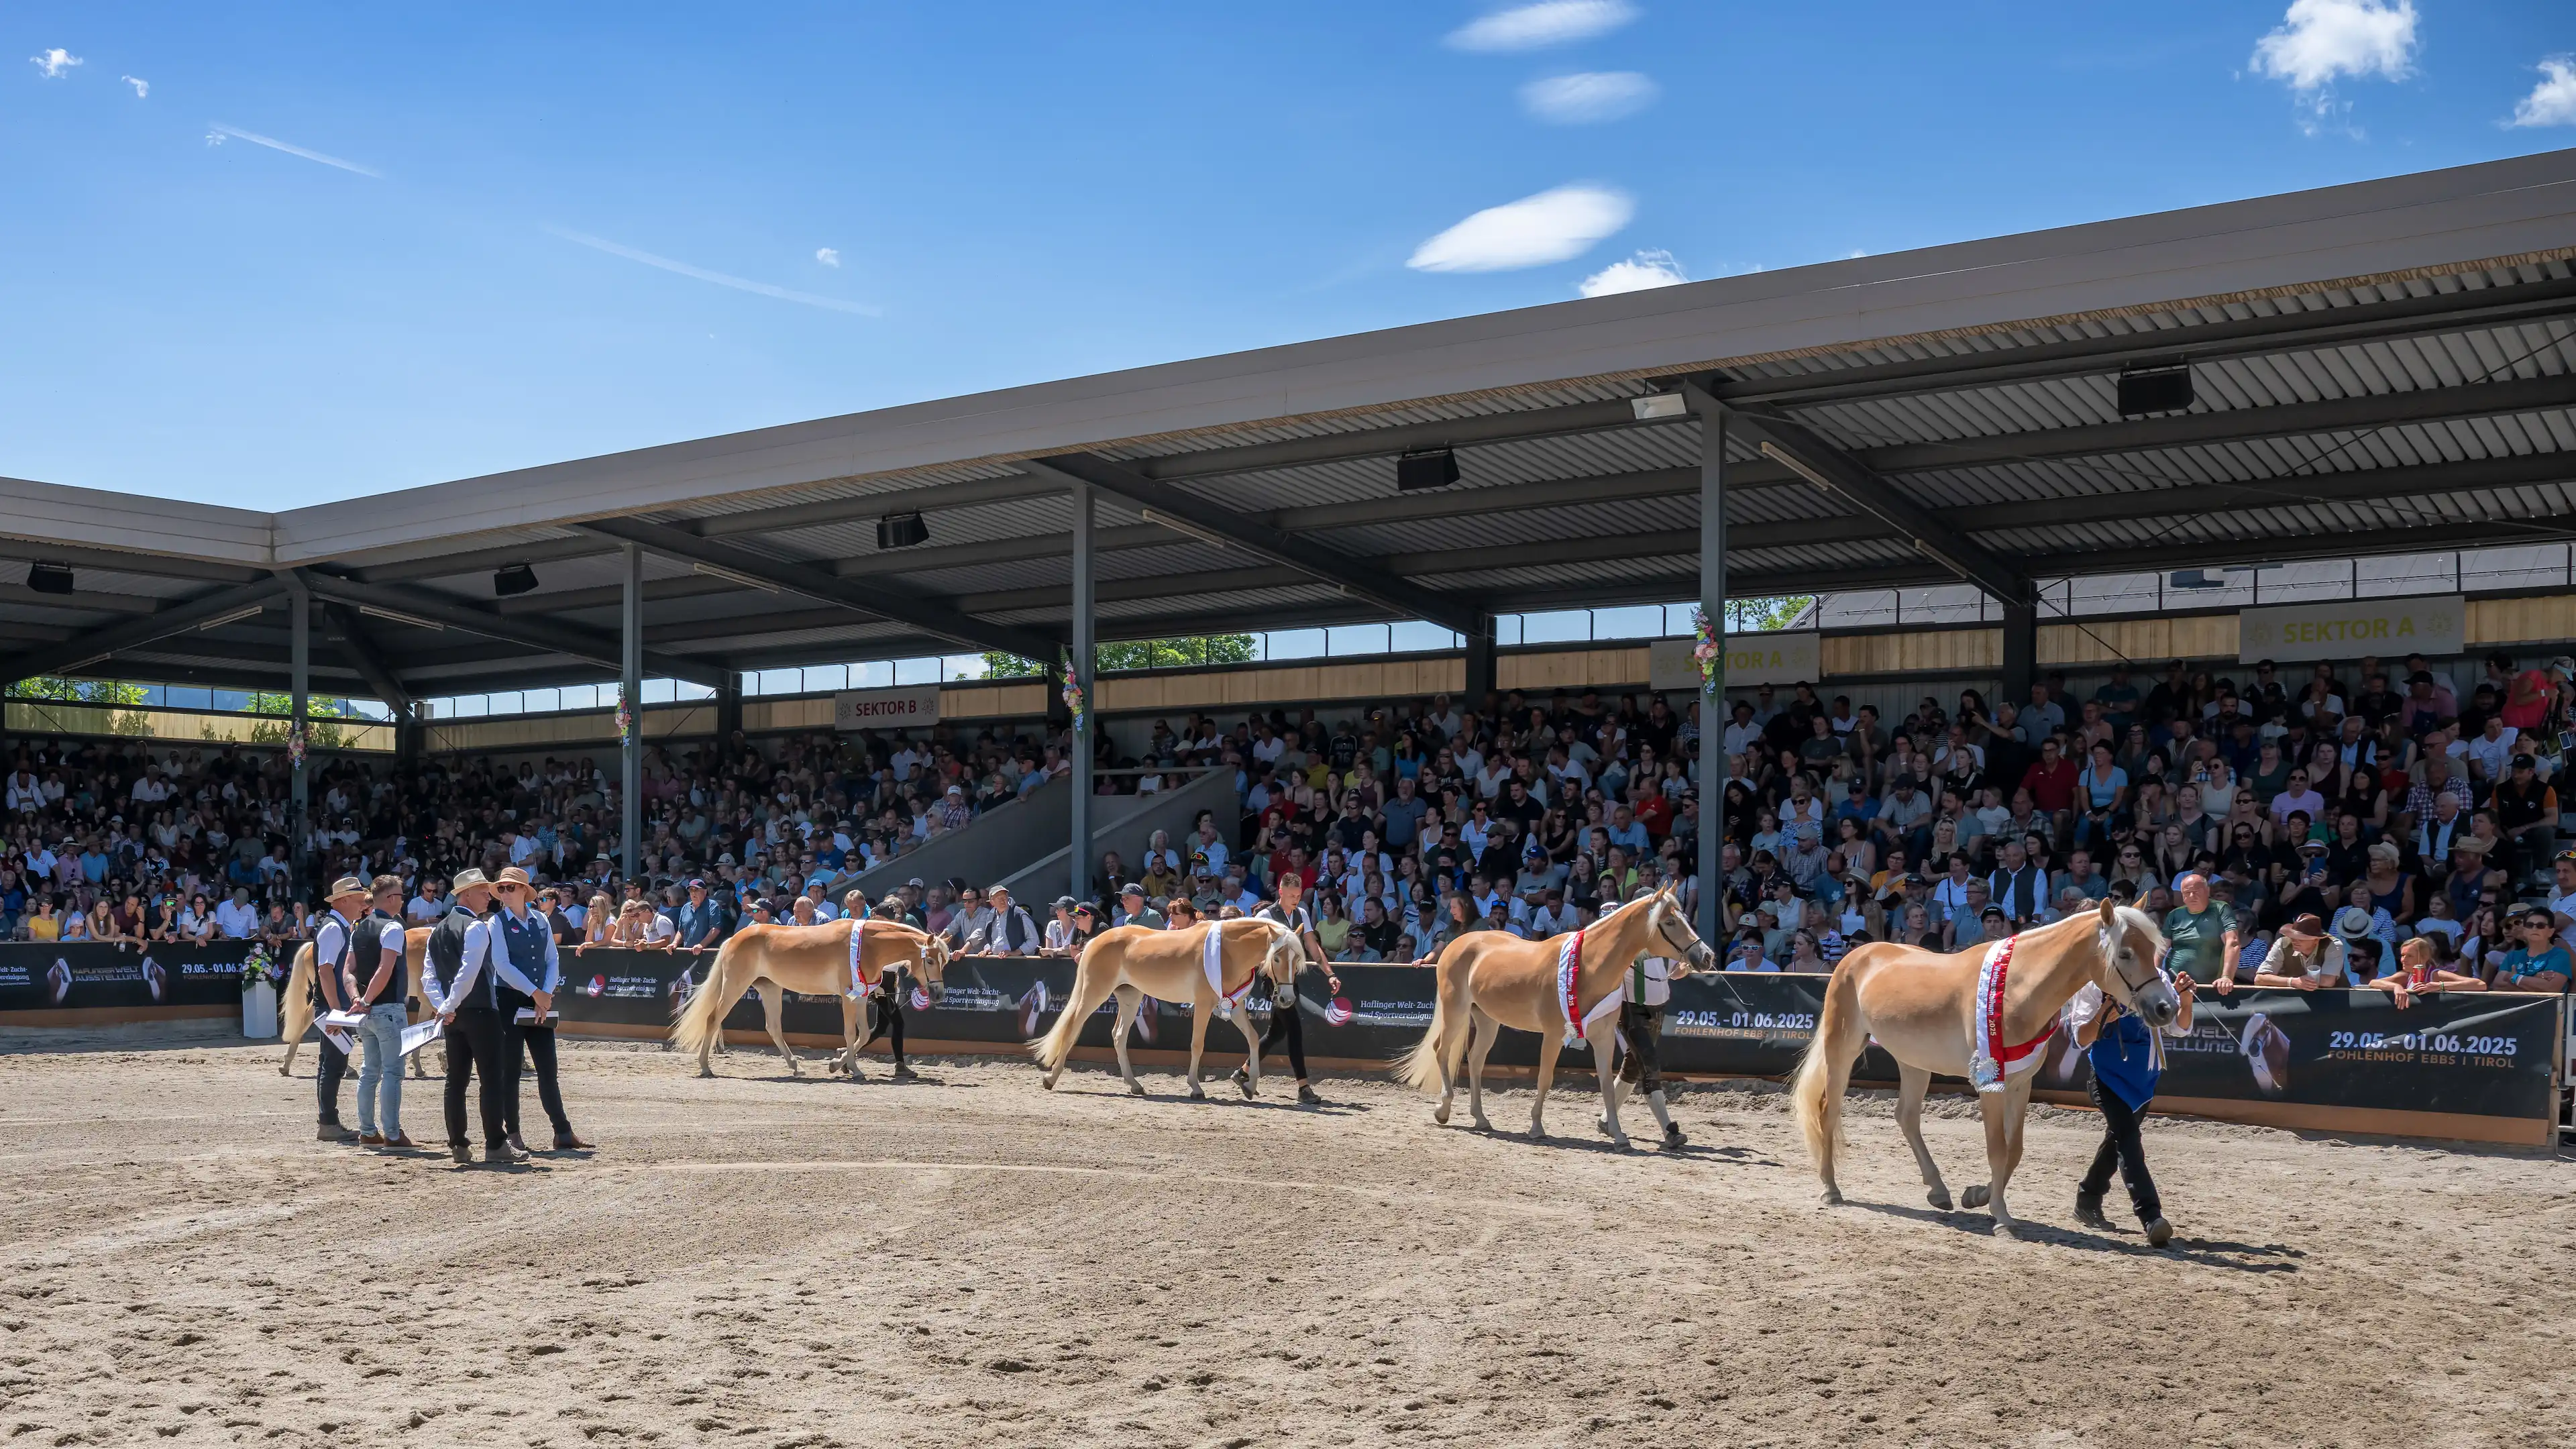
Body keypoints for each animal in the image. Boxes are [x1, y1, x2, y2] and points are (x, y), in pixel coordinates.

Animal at [669, 918, 949, 1078]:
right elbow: (850, 1033)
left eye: (944, 961)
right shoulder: (848, 997)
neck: (868, 947)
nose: (938, 994)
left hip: (770, 989)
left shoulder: (860, 997)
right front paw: (854, 1070)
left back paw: (796, 1068)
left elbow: (865, 1034)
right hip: (735, 987)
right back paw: (705, 1067)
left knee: (773, 1028)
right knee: (714, 1018)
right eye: (930, 960)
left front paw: (838, 1064)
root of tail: (732, 939)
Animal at [1030, 919, 1304, 1098]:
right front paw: (1196, 1088)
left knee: (1118, 1036)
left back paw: (1135, 1086)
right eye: (1276, 958)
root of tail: (1097, 939)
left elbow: (1254, 1039)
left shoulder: (1234, 1006)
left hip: (1130, 998)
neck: (1226, 953)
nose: (1287, 999)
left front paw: (1249, 1086)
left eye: (1298, 959)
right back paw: (1050, 1079)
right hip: (1095, 993)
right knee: (1072, 1027)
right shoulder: (1204, 1004)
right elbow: (1197, 1044)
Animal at [1394, 884, 1716, 1148]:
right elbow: (1545, 1079)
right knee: (1442, 1050)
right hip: (1456, 1012)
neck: (1587, 967)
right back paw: (1444, 1110)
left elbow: (1606, 1084)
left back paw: (1481, 1119)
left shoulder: (1602, 1038)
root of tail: (1457, 944)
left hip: (1487, 1020)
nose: (1706, 956)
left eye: (1684, 916)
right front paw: (1537, 1128)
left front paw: (1619, 1136)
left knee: (1474, 1060)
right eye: (1670, 921)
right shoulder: (1552, 1035)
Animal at [1787, 899, 2179, 1237]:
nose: (2166, 1008)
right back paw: (1831, 1190)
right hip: (1843, 1048)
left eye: (2154, 950)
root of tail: (1857, 955)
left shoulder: (2021, 1084)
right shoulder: (1990, 1084)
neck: (2016, 990)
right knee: (1829, 1111)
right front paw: (2002, 1219)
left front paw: (1977, 1196)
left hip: (1913, 1062)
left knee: (1906, 1117)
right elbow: (1998, 1149)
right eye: (2125, 954)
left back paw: (1938, 1191)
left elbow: (2014, 1150)